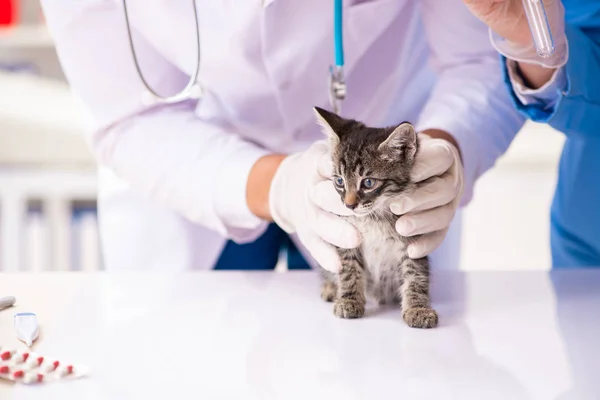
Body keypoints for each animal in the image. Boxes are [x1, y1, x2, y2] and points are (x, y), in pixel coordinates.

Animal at [314, 106, 436, 328]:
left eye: (368, 182)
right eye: (339, 181)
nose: (349, 205)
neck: (375, 216)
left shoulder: (414, 241)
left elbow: (415, 274)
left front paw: (418, 308)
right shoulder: (347, 235)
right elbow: (349, 268)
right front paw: (349, 300)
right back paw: (330, 287)